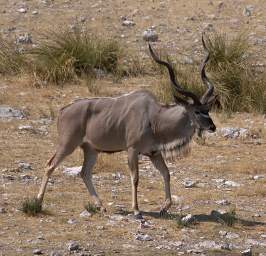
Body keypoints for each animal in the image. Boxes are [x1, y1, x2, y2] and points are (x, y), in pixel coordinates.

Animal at [37, 35, 216, 217]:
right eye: (196, 111)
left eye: (207, 109)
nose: (212, 127)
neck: (154, 117)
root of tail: (63, 111)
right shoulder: (132, 149)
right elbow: (135, 178)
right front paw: (136, 209)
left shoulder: (154, 153)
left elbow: (166, 173)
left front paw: (164, 207)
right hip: (68, 145)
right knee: (50, 165)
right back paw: (38, 201)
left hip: (91, 149)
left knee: (84, 173)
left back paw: (101, 206)